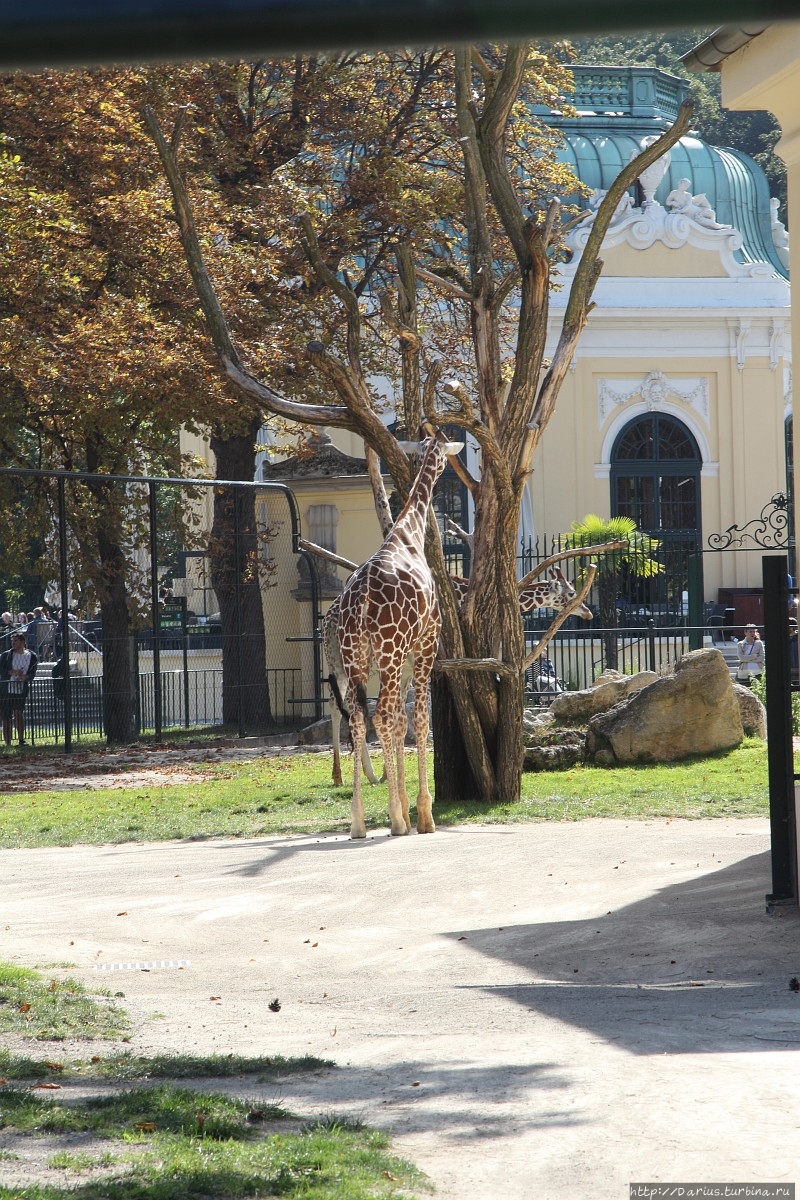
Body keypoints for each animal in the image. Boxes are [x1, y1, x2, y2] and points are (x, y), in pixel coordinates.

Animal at [338, 429, 462, 835]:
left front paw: (408, 807)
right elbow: (420, 721)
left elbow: (401, 723)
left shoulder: (405, 659)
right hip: (388, 653)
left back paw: (358, 821)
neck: (409, 533)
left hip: (355, 657)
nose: (448, 468)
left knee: (359, 717)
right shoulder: (424, 647)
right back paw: (393, 818)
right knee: (380, 714)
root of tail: (360, 599)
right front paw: (421, 813)